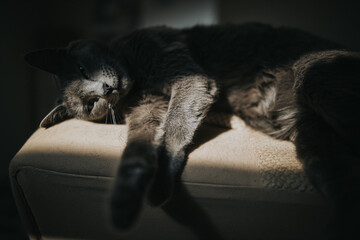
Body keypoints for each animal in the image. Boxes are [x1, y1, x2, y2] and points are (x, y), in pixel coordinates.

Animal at [25, 23, 360, 240]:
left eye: (83, 71)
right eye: (90, 103)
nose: (106, 90)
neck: (138, 80)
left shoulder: (188, 78)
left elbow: (175, 126)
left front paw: (161, 182)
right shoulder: (146, 112)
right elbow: (135, 155)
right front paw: (123, 208)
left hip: (314, 78)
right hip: (313, 141)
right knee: (341, 185)